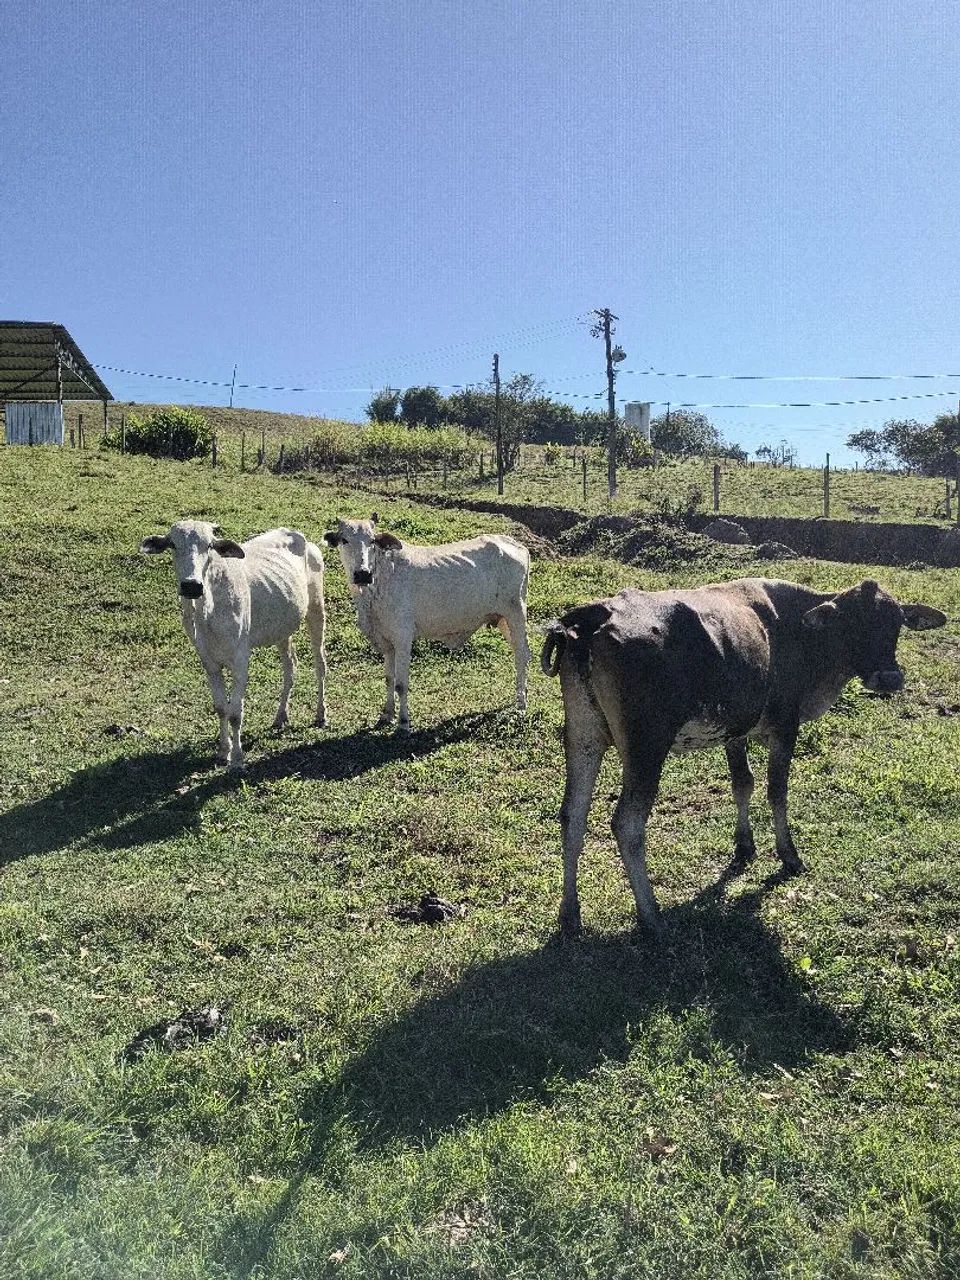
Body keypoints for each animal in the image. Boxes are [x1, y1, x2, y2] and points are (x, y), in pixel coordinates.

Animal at [140, 521, 328, 768]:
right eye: (172, 544)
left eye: (209, 545)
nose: (191, 586)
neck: (207, 614)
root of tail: (300, 536)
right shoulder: (208, 661)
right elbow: (221, 709)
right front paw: (223, 752)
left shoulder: (240, 659)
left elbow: (236, 712)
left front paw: (238, 758)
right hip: (283, 627)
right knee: (290, 666)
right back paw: (280, 717)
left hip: (316, 608)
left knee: (320, 664)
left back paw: (321, 715)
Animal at [323, 513, 530, 731]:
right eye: (344, 540)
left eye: (372, 541)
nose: (363, 573)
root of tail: (515, 544)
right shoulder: (387, 643)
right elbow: (389, 680)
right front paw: (386, 715)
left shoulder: (403, 638)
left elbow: (401, 684)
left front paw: (403, 722)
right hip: (503, 620)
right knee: (521, 652)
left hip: (516, 613)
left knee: (521, 655)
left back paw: (521, 703)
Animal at [540, 577, 946, 936]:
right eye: (853, 623)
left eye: (896, 622)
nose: (889, 678)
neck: (798, 628)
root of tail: (597, 611)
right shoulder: (785, 725)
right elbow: (776, 792)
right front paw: (788, 855)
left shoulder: (735, 730)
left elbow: (743, 785)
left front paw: (744, 845)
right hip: (646, 747)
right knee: (627, 824)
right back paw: (652, 916)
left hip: (584, 736)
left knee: (572, 815)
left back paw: (570, 914)